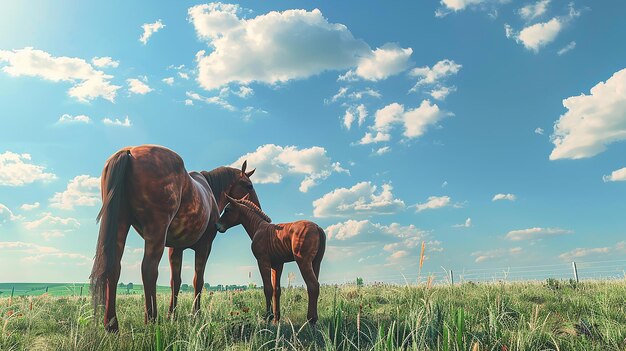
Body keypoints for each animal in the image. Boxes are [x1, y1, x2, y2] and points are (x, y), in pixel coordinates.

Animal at [89, 146, 258, 332]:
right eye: (249, 185)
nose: (257, 207)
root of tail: (129, 151)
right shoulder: (205, 246)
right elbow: (198, 280)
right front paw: (195, 315)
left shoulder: (175, 249)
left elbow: (175, 281)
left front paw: (172, 315)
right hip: (155, 231)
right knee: (149, 270)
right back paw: (152, 320)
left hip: (120, 224)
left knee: (114, 268)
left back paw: (112, 325)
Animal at [214, 195, 324, 324]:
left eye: (227, 210)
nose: (217, 225)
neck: (258, 228)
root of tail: (317, 227)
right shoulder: (277, 264)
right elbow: (276, 290)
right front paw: (276, 319)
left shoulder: (263, 261)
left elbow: (268, 288)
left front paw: (268, 316)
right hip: (316, 262)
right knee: (315, 287)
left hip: (303, 262)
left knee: (312, 286)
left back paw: (311, 320)